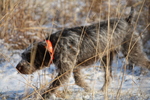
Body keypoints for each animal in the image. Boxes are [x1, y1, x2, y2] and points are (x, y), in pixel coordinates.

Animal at [15, 7, 149, 99]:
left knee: (146, 63)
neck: (55, 45)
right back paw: (102, 90)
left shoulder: (65, 70)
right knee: (108, 77)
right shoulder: (75, 67)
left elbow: (52, 86)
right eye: (22, 56)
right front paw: (89, 89)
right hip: (106, 59)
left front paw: (44, 96)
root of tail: (127, 20)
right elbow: (79, 81)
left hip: (132, 53)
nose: (17, 67)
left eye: (29, 57)